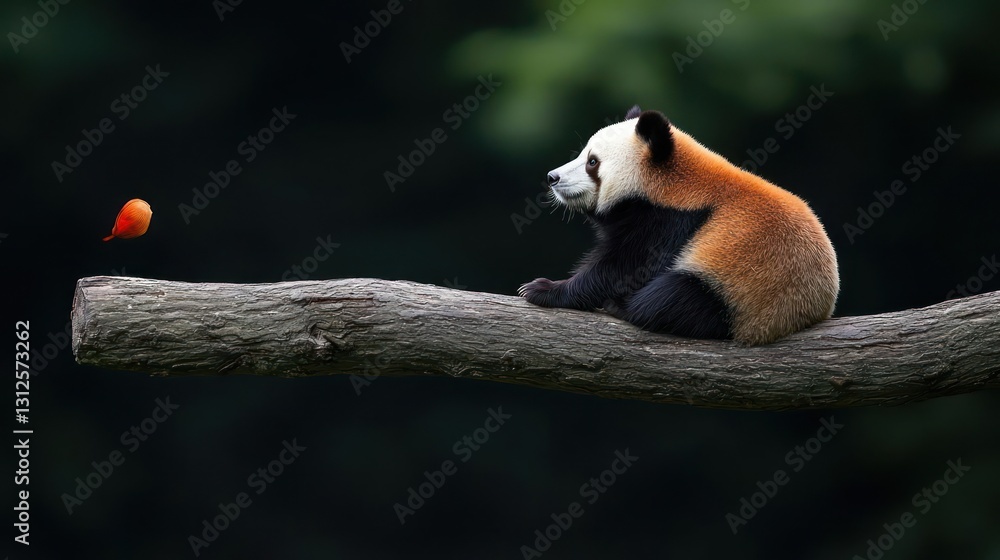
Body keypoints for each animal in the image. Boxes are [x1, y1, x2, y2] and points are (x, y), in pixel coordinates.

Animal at [519, 106, 839, 346]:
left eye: (592, 162)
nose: (553, 178)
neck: (676, 185)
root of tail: (813, 313)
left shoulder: (673, 222)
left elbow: (625, 268)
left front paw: (543, 289)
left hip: (743, 289)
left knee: (675, 298)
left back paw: (622, 306)